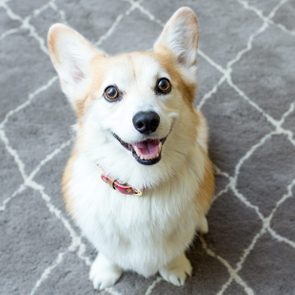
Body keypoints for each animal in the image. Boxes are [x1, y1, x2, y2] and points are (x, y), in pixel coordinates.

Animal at [48, 6, 215, 292]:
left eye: (163, 85)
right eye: (111, 92)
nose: (146, 120)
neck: (139, 184)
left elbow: (175, 248)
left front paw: (175, 267)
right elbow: (108, 251)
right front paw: (106, 271)